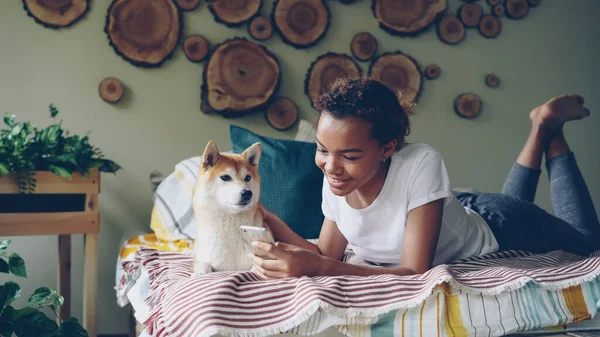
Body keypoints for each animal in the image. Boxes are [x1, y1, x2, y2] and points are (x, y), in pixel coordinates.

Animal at [193, 139, 264, 272]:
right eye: (225, 177)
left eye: (248, 177)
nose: (247, 193)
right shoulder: (200, 258)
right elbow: (203, 265)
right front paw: (199, 274)